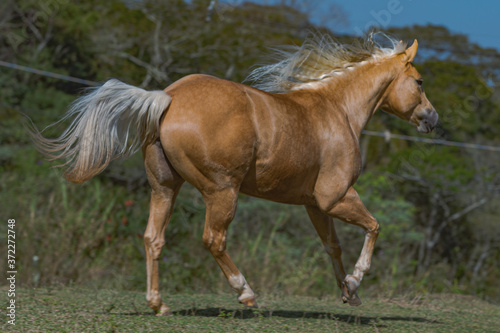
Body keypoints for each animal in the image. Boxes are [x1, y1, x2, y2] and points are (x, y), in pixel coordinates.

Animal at [32, 33, 438, 314]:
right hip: (222, 191)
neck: (337, 110)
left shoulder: (314, 205)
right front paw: (355, 280)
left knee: (153, 238)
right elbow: (374, 227)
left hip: (164, 187)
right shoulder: (334, 197)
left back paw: (158, 304)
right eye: (419, 81)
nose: (432, 119)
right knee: (213, 239)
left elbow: (332, 246)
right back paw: (246, 293)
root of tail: (168, 98)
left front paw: (349, 294)